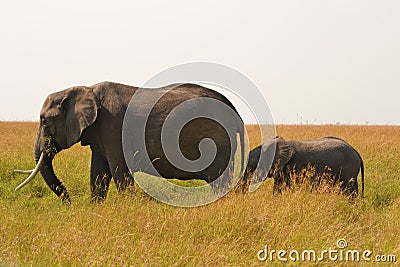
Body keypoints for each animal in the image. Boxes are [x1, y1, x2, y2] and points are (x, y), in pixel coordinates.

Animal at [15, 81, 245, 203]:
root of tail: (236, 114)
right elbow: (98, 173)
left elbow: (119, 170)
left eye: (44, 121)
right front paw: (95, 208)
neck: (85, 89)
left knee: (219, 180)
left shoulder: (113, 127)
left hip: (217, 140)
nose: (69, 203)